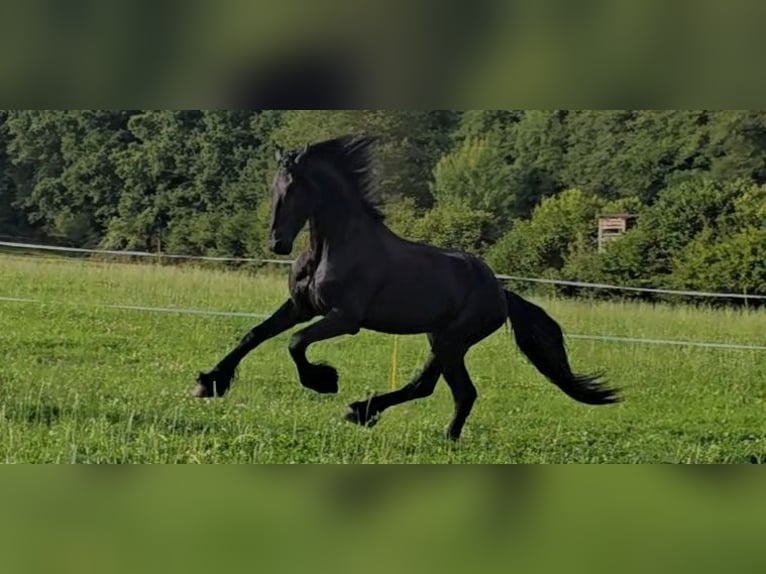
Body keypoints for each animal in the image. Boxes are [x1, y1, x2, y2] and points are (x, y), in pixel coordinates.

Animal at [194, 135, 620, 440]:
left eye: (295, 189)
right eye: (273, 188)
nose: (277, 244)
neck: (333, 246)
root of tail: (500, 293)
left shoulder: (344, 318)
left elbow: (295, 343)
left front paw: (324, 381)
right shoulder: (301, 306)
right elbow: (254, 335)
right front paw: (208, 383)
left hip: (451, 340)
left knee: (437, 387)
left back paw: (371, 414)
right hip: (442, 339)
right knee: (448, 389)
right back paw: (419, 429)